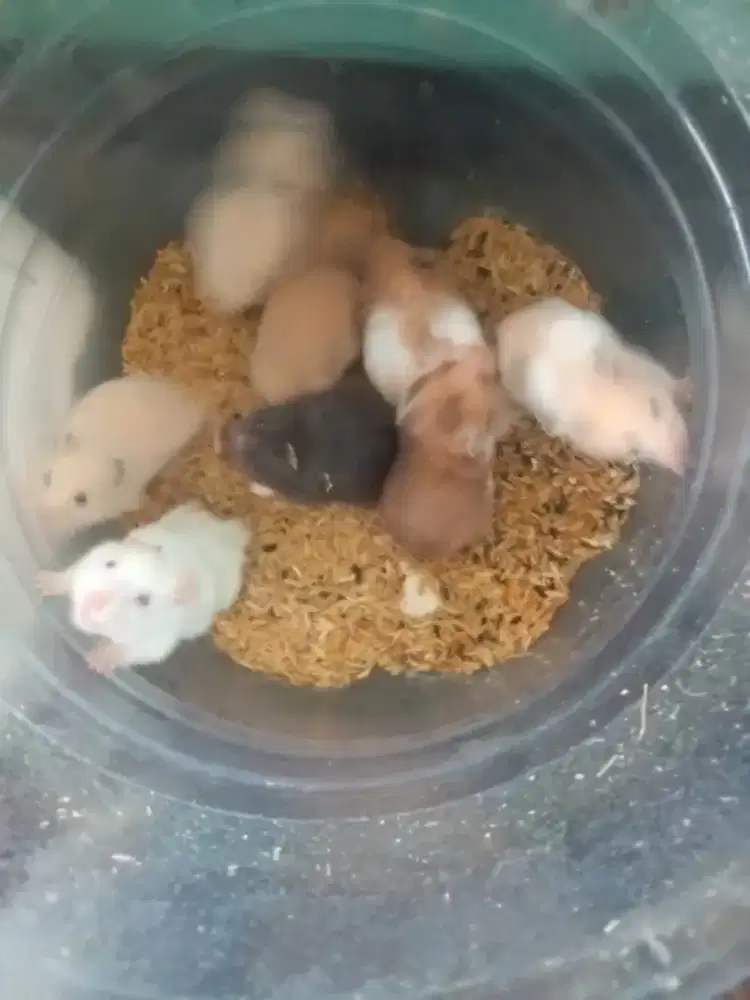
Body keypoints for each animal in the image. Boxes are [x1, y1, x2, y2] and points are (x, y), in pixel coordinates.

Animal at [36, 501, 250, 673]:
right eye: (110, 564)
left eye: (143, 600)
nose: (93, 604)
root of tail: (229, 529)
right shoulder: (89, 560)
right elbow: (71, 574)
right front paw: (42, 582)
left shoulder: (157, 640)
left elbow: (134, 651)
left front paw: (98, 660)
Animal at [37, 374, 207, 536]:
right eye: (48, 477)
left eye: (81, 499)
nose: (44, 514)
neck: (97, 446)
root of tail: (187, 394)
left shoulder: (131, 498)